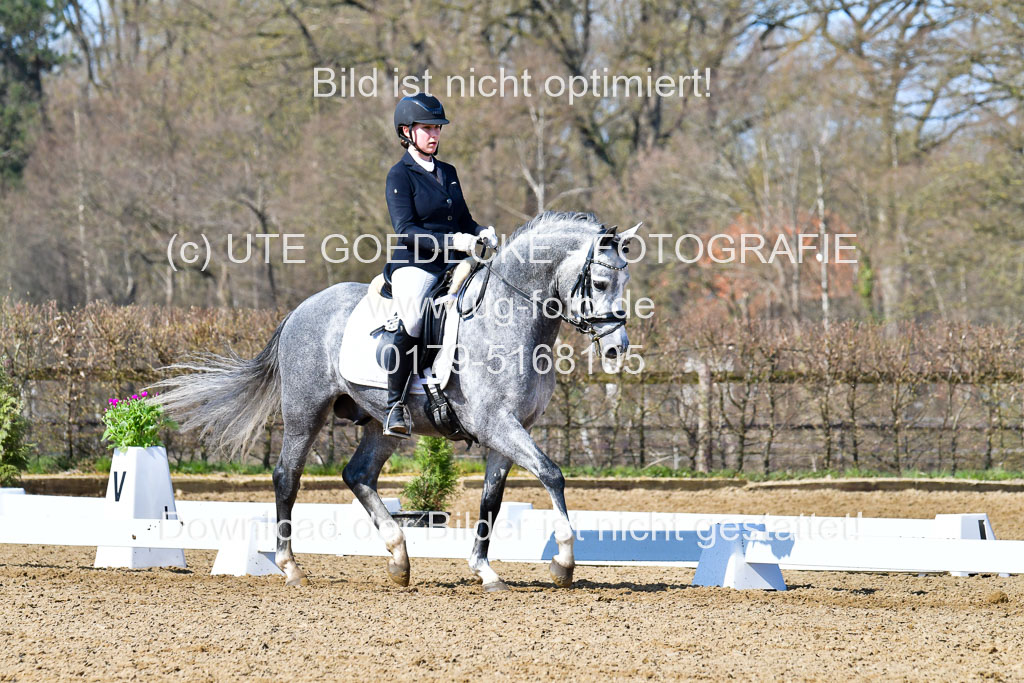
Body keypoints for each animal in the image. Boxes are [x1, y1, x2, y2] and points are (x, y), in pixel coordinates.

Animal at [156, 211, 641, 591]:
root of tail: (300, 309)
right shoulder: (497, 424)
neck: (509, 318)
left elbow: (493, 500)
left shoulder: (509, 430)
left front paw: (485, 572)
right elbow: (552, 474)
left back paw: (399, 559)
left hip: (380, 424)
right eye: (600, 281)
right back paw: (291, 568)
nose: (617, 348)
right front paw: (563, 562)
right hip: (304, 411)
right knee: (286, 477)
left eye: (625, 279)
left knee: (358, 475)